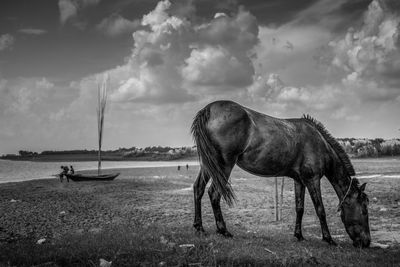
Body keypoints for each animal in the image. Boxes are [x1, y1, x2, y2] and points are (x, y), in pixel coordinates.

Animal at [191, 100, 372, 249]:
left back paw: (199, 227)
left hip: (209, 165)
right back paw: (223, 230)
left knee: (198, 189)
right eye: (364, 210)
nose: (366, 242)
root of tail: (208, 110)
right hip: (224, 166)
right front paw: (329, 239)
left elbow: (299, 208)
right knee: (214, 193)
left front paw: (299, 236)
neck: (319, 143)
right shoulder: (312, 180)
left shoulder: (300, 180)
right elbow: (320, 209)